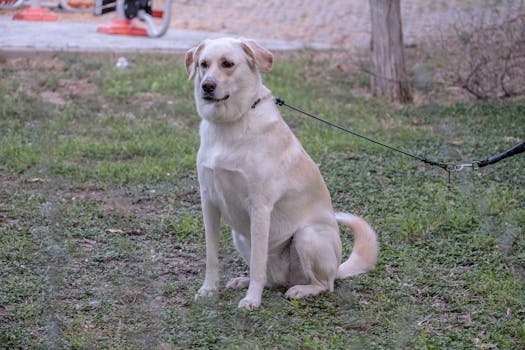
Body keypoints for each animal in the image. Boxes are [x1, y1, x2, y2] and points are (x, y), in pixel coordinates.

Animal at [184, 37, 376, 308]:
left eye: (227, 64)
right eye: (203, 64)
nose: (207, 86)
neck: (229, 124)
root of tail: (337, 267)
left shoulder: (259, 207)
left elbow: (257, 264)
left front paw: (252, 300)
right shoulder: (208, 202)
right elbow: (212, 256)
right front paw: (209, 290)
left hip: (307, 236)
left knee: (324, 285)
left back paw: (301, 290)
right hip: (239, 236)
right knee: (271, 279)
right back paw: (245, 281)